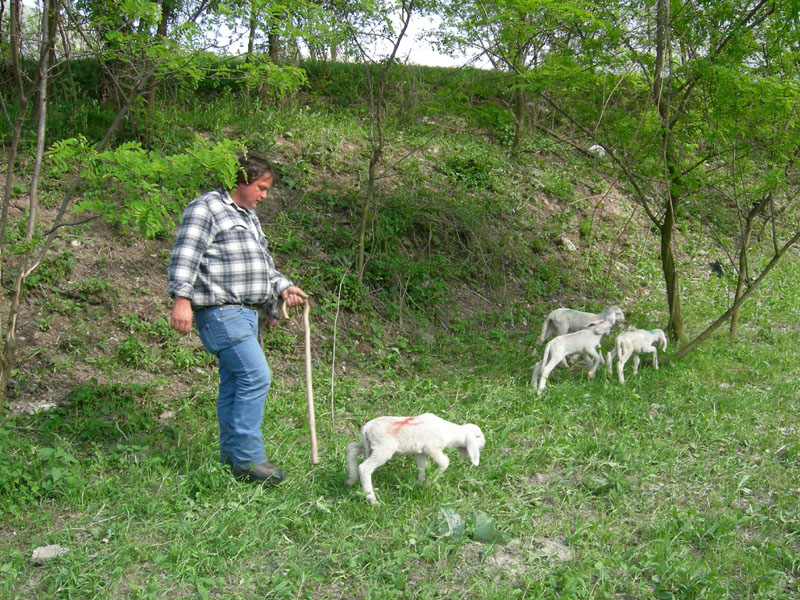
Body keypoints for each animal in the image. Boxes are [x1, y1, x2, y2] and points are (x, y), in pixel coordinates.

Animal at [342, 412, 482, 506]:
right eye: (479, 437)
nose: (483, 446)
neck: (451, 432)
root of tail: (365, 428)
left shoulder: (420, 452)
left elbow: (422, 467)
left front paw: (420, 484)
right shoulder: (432, 448)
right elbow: (445, 462)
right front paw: (430, 482)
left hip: (370, 446)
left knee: (352, 448)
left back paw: (351, 480)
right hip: (383, 448)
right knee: (364, 468)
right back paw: (372, 499)